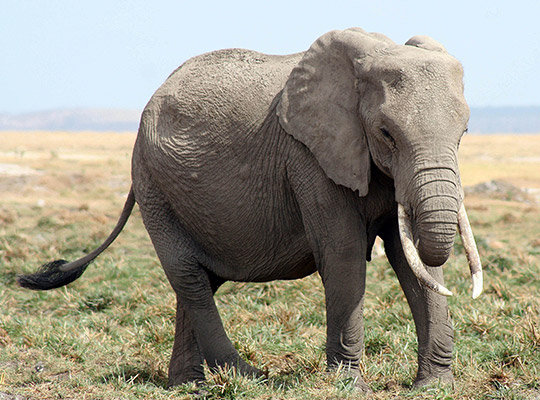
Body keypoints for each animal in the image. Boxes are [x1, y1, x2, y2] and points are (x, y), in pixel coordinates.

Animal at [16, 28, 484, 390]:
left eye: (464, 133)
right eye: (386, 133)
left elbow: (412, 262)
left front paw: (434, 387)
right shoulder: (307, 157)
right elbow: (344, 255)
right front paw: (350, 387)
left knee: (199, 282)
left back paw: (189, 386)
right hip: (154, 184)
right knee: (189, 277)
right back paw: (249, 378)